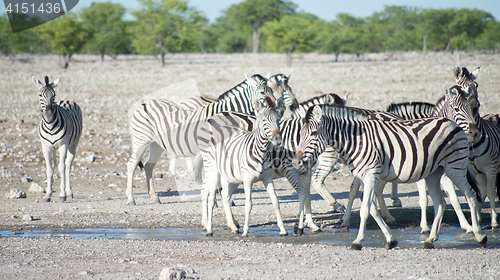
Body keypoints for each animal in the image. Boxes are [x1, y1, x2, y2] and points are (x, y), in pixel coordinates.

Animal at [125, 74, 282, 206]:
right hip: (141, 140)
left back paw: (154, 197)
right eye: (262, 93)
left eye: (272, 91)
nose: (278, 108)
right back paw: (131, 199)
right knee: (132, 165)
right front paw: (220, 200)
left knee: (148, 166)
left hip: (156, 145)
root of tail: (144, 103)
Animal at [292, 104, 486, 249]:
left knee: (470, 195)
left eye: (313, 134)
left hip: (454, 166)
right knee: (440, 202)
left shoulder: (371, 174)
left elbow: (365, 209)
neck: (355, 141)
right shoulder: (365, 177)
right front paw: (390, 239)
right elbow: (371, 208)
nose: (296, 162)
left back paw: (479, 235)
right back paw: (431, 239)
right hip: (434, 172)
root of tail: (452, 123)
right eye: (299, 135)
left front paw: (358, 241)